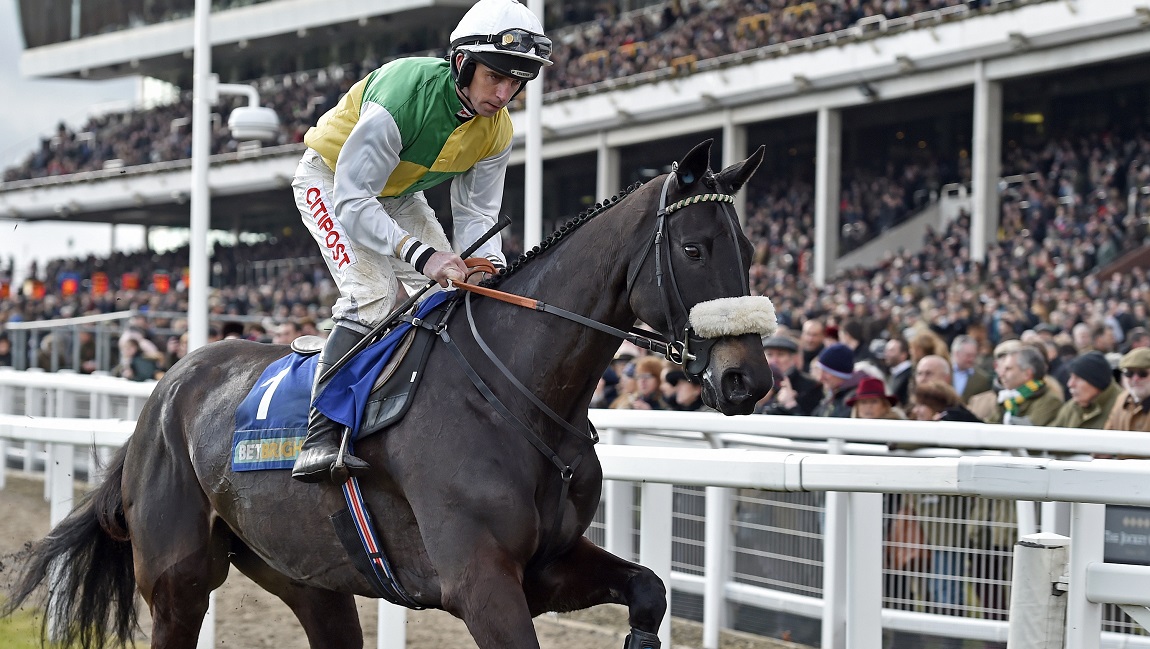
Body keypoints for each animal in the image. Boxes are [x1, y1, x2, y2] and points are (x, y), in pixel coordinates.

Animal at [2, 140, 772, 649]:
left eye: (750, 249)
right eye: (695, 249)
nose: (750, 378)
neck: (516, 397)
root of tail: (165, 392)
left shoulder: (546, 565)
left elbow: (649, 587)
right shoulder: (480, 580)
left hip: (308, 575)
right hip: (177, 580)